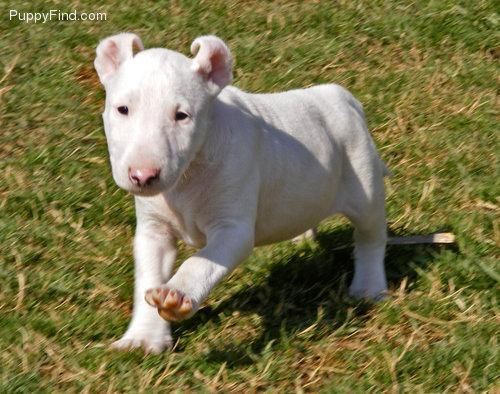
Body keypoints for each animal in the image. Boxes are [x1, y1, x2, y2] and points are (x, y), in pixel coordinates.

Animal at [94, 33, 390, 354]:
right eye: (122, 109)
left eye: (182, 116)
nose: (143, 176)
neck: (187, 177)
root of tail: (343, 97)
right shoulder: (153, 230)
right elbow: (149, 274)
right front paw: (144, 338)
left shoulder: (233, 228)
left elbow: (201, 261)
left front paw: (177, 294)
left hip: (364, 183)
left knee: (370, 238)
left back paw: (369, 286)